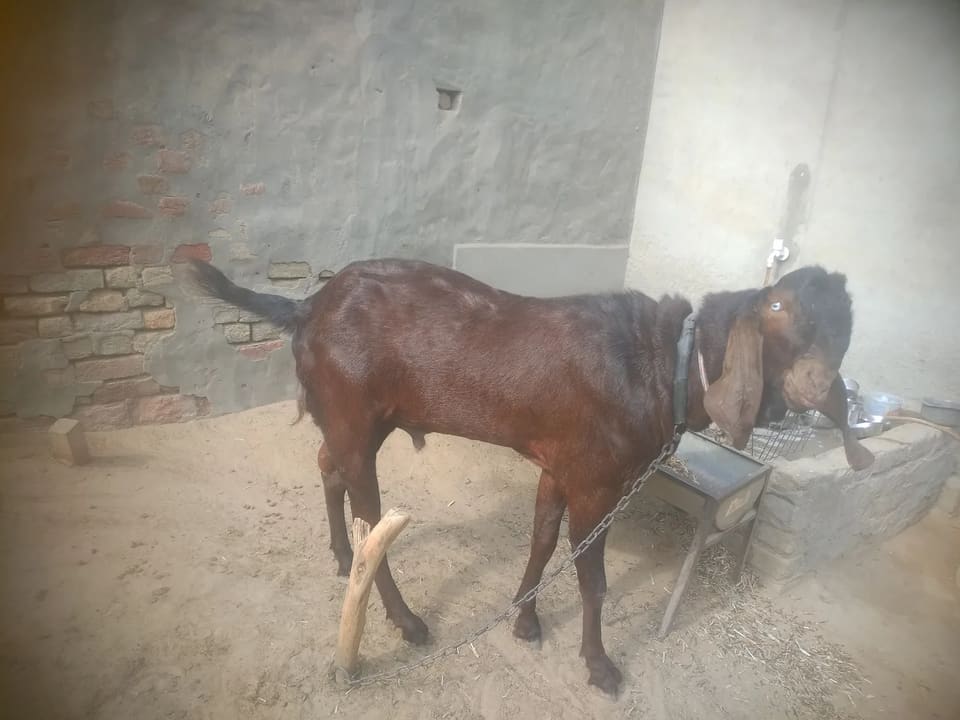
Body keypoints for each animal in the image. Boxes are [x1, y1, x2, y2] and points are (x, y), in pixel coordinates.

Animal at [190, 258, 873, 695]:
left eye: (846, 323)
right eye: (778, 307)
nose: (816, 383)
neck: (664, 364)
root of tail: (306, 306)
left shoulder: (562, 465)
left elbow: (542, 539)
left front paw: (523, 620)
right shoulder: (598, 480)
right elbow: (592, 578)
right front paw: (599, 666)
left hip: (360, 419)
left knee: (328, 468)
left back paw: (337, 553)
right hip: (354, 415)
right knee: (372, 524)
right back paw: (407, 622)